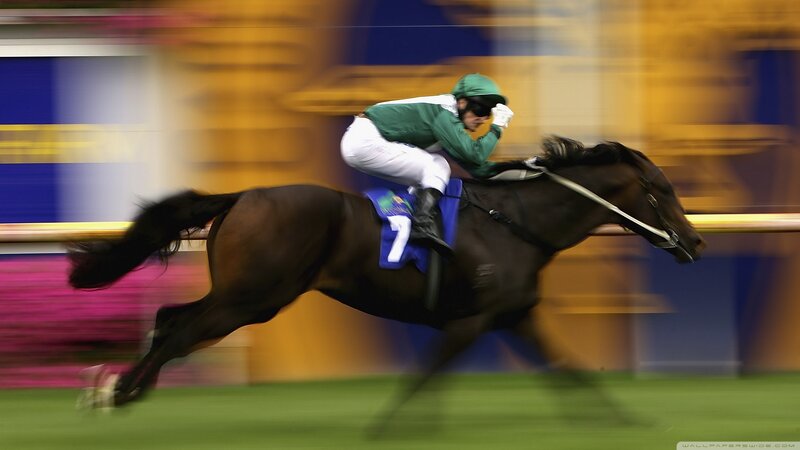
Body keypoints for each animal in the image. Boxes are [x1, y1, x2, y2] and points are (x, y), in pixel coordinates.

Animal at [69, 136, 705, 423]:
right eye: (661, 190)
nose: (696, 242)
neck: (517, 222)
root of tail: (242, 195)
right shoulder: (471, 320)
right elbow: (426, 374)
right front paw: (392, 425)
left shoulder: (514, 314)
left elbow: (566, 367)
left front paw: (621, 420)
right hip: (253, 297)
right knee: (179, 331)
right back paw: (119, 392)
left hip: (241, 295)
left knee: (168, 319)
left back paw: (122, 388)